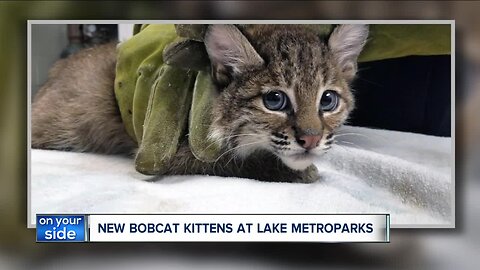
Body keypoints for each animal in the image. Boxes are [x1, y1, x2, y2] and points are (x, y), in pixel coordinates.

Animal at [31, 24, 370, 182]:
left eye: (328, 100)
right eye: (274, 100)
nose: (311, 140)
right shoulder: (165, 152)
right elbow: (233, 162)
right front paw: (299, 172)